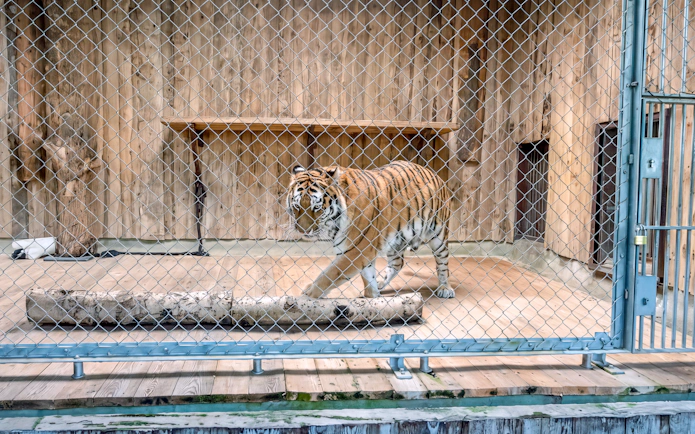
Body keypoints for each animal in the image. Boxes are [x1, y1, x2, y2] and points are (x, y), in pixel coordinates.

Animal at [286, 160, 454, 299]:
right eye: (297, 206)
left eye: (317, 208)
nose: (303, 231)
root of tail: (433, 173)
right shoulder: (361, 251)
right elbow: (368, 276)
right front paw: (372, 297)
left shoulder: (357, 250)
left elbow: (329, 274)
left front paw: (308, 293)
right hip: (397, 241)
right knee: (397, 263)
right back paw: (381, 284)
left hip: (438, 235)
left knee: (443, 263)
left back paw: (445, 288)